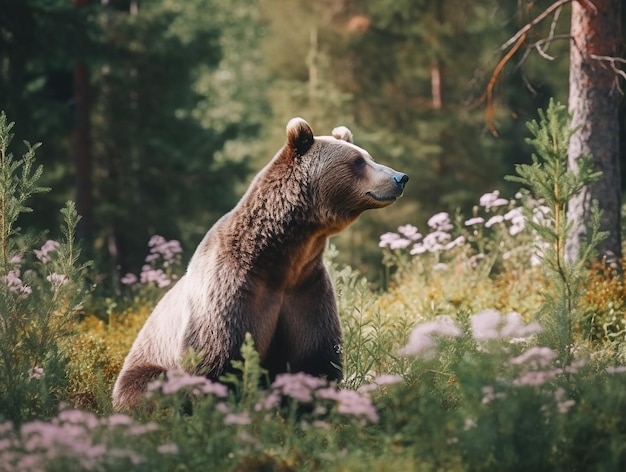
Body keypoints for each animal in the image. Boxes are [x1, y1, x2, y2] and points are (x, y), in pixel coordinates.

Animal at [111, 118, 404, 410]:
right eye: (357, 161)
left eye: (367, 156)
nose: (400, 178)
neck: (281, 258)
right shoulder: (231, 290)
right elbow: (216, 358)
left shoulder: (306, 289)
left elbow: (315, 357)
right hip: (145, 364)